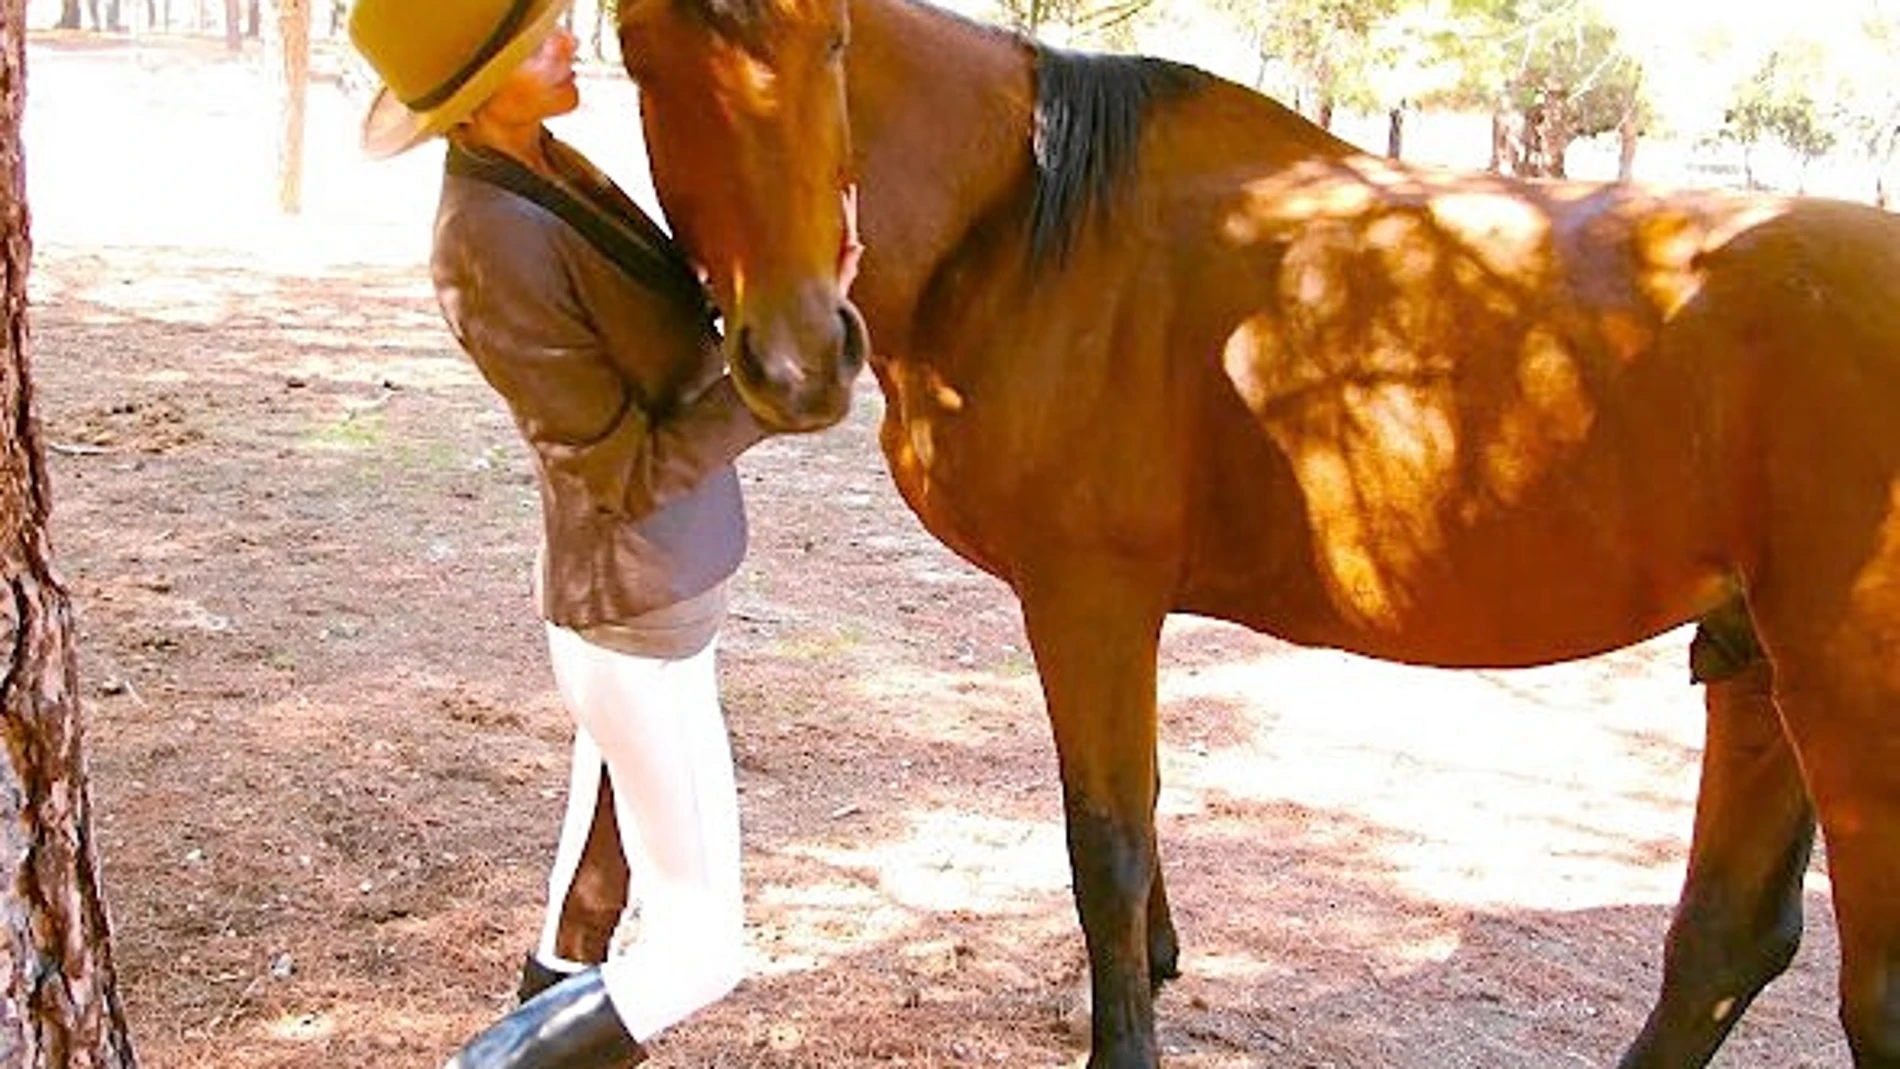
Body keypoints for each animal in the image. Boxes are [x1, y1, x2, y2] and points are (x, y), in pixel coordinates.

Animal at [600, 2, 1900, 1069]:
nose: (797, 358)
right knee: (1727, 941)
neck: (1022, 229)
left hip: (1846, 704)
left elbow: (1107, 840)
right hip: (1759, 672)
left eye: (828, 47)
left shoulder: (1088, 597)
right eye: (643, 62)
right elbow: (1140, 809)